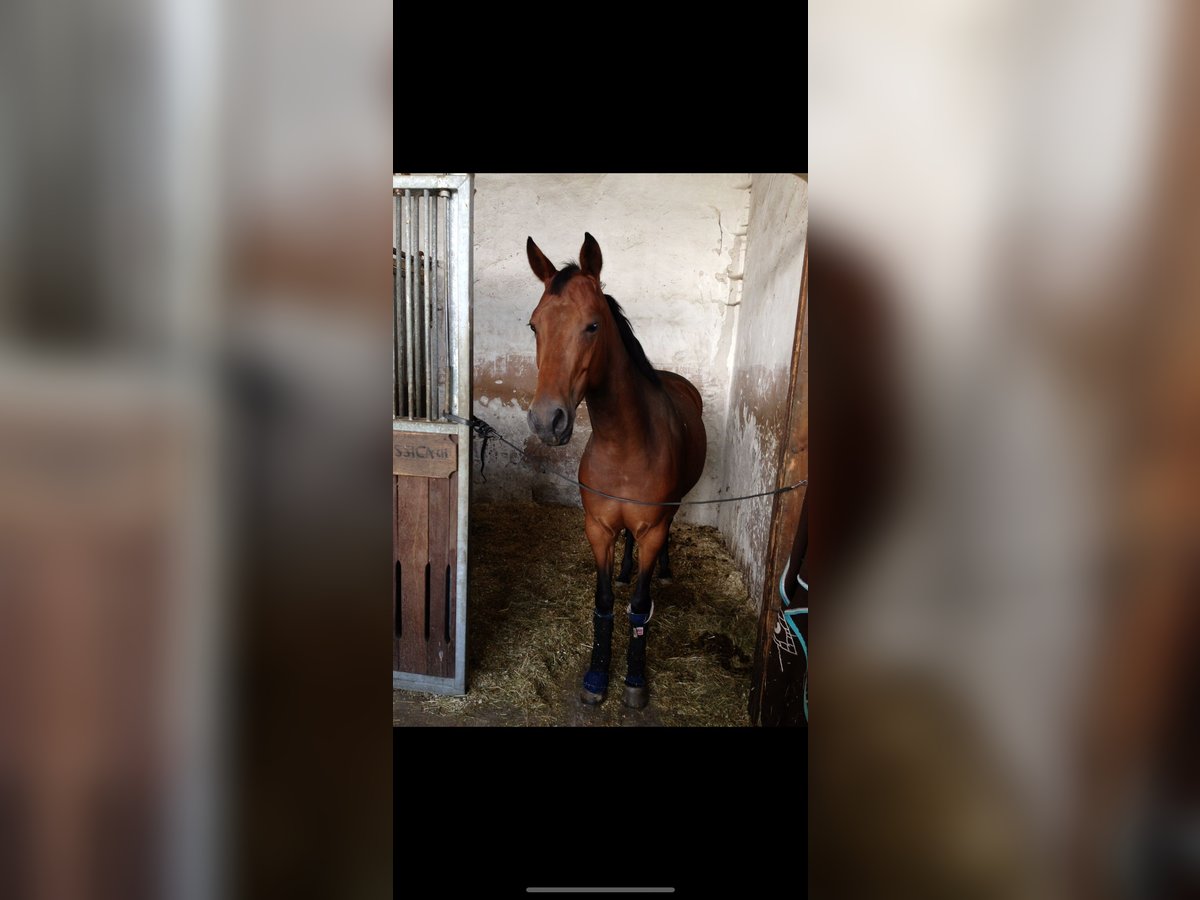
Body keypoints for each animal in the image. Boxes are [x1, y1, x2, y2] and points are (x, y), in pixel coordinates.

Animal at [525, 233, 707, 708]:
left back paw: (663, 569)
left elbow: (640, 608)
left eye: (592, 326)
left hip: (672, 510)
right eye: (534, 326)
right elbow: (604, 601)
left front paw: (635, 681)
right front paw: (595, 678)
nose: (547, 421)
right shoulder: (599, 528)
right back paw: (627, 569)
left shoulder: (653, 528)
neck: (624, 444)